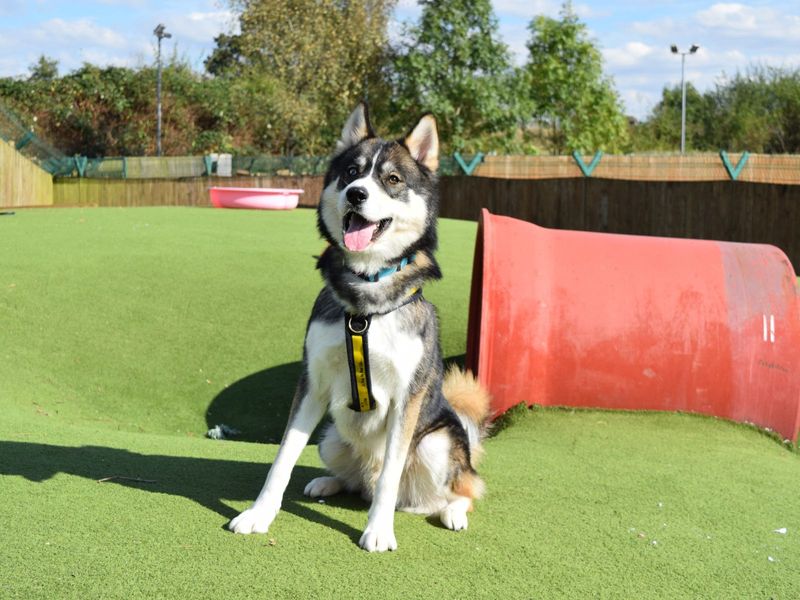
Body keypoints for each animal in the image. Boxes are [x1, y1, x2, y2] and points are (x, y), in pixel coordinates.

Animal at [225, 103, 488, 552]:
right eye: (351, 172)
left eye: (392, 179)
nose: (356, 194)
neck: (365, 301)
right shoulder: (312, 383)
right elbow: (282, 459)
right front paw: (259, 514)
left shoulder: (406, 399)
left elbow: (389, 479)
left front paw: (378, 530)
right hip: (331, 438)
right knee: (360, 482)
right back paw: (328, 483)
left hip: (436, 444)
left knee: (455, 489)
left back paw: (452, 511)